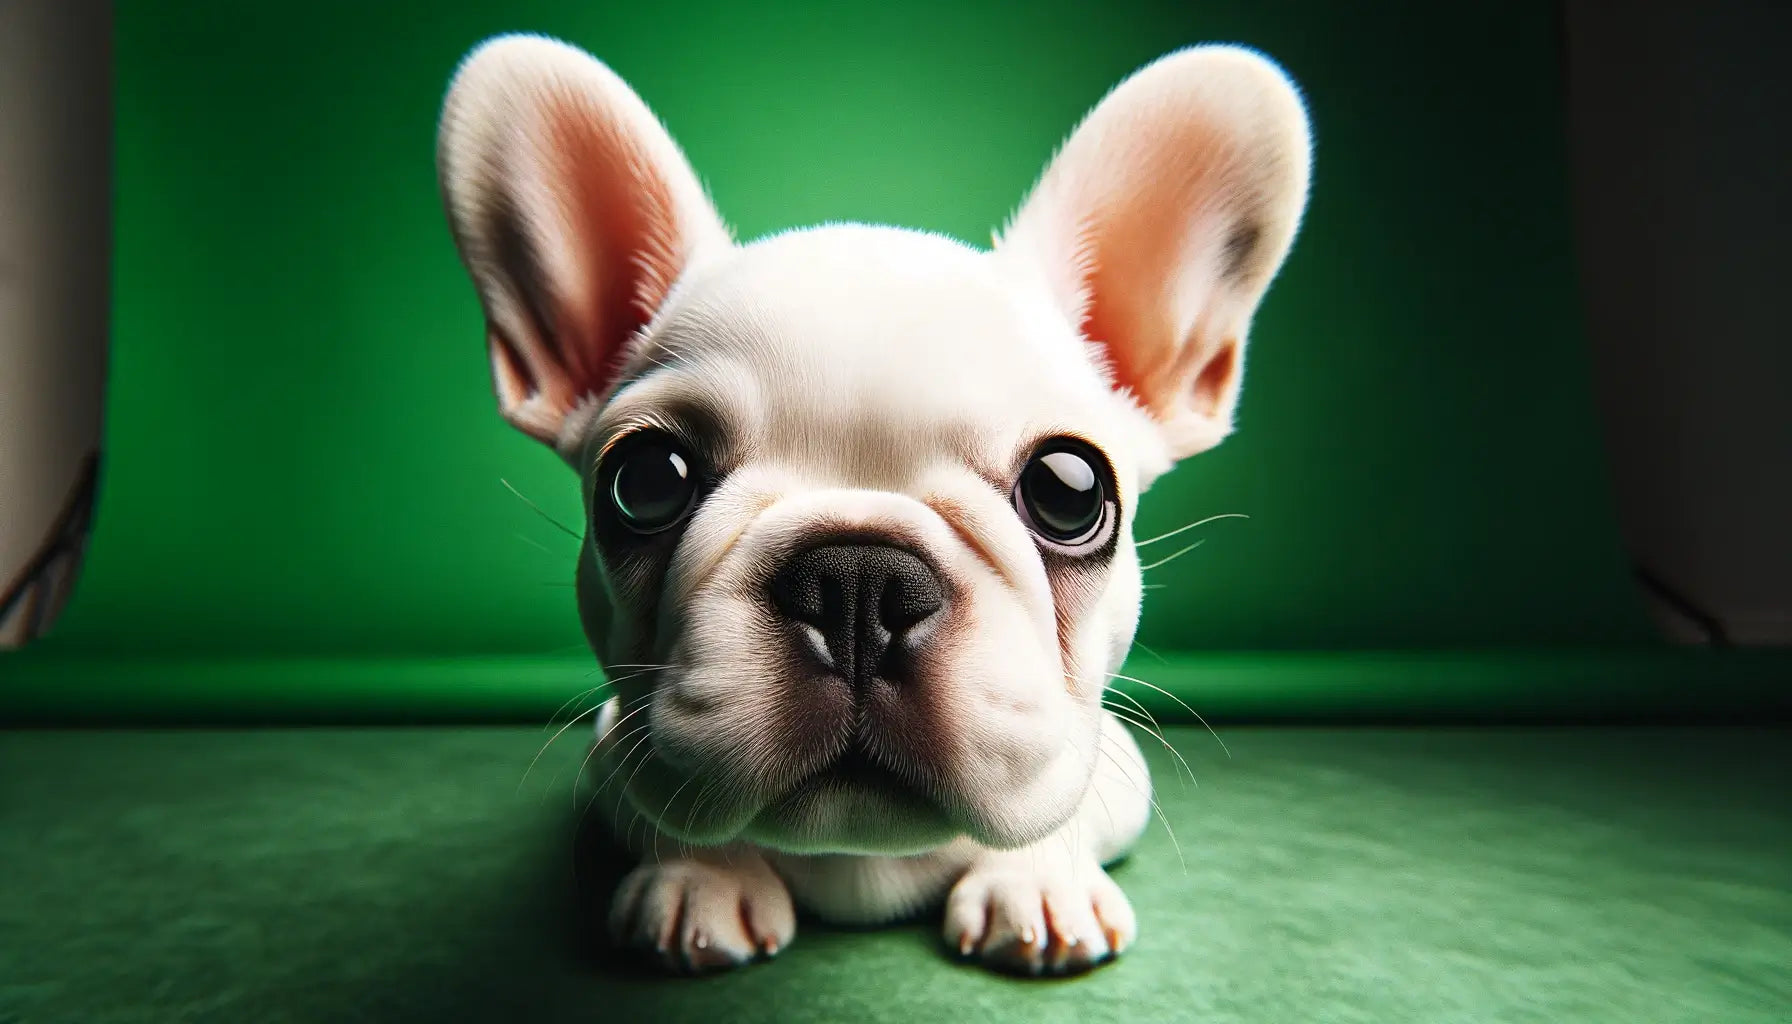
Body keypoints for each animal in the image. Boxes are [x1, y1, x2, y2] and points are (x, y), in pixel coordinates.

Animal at [433, 34, 1304, 975]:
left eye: (1069, 493)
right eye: (647, 482)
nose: (855, 581)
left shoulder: (1114, 766)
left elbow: (1064, 804)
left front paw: (1039, 881)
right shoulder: (612, 756)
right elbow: (657, 812)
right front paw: (699, 882)